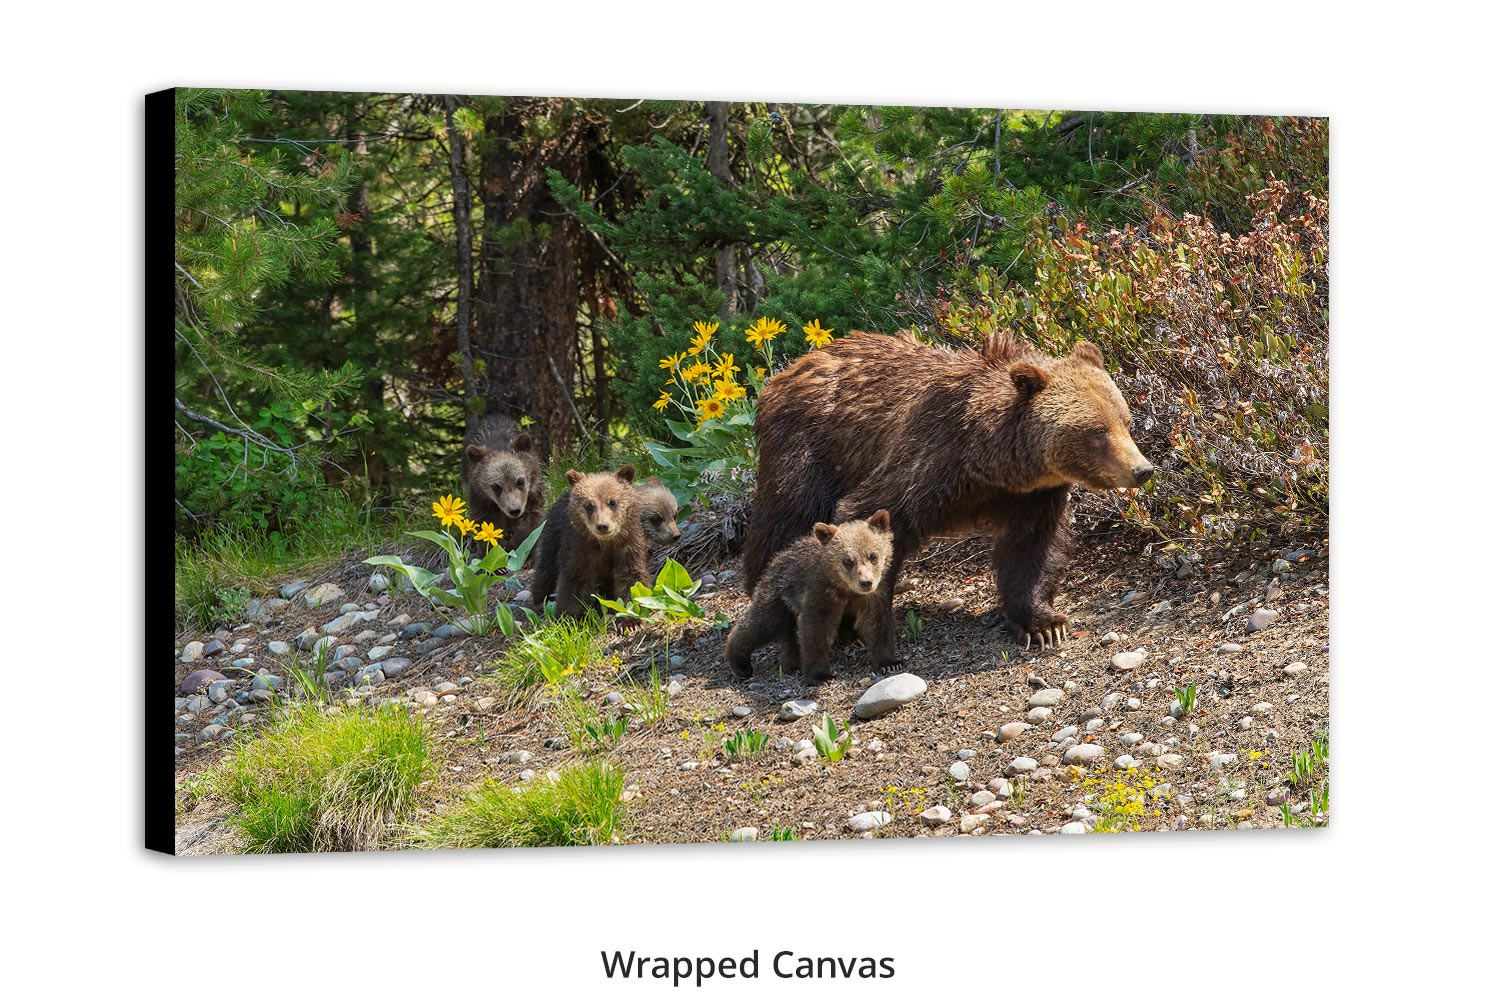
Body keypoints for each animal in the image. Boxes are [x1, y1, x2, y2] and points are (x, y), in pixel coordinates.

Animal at [460, 413, 546, 544]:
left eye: (520, 481)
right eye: (496, 486)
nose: (514, 510)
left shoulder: (532, 495)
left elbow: (531, 521)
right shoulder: (481, 498)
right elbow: (486, 524)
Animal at [549, 466, 650, 618]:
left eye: (612, 502)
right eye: (589, 505)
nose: (602, 525)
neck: (605, 545)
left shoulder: (629, 546)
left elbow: (631, 579)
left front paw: (630, 617)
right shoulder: (579, 550)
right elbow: (573, 582)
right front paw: (566, 616)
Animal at [725, 510, 895, 685]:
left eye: (873, 555)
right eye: (848, 561)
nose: (866, 582)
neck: (845, 588)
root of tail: (776, 558)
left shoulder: (874, 595)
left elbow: (876, 622)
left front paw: (888, 663)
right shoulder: (820, 593)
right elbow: (815, 629)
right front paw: (820, 675)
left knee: (789, 634)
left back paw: (792, 664)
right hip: (778, 596)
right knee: (761, 624)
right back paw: (740, 663)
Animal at [742, 330, 1153, 651]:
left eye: (1126, 421)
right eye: (1097, 431)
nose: (1142, 470)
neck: (989, 460)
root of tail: (784, 372)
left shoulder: (1033, 496)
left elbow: (1032, 548)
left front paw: (1043, 624)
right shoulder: (926, 460)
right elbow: (868, 516)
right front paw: (851, 619)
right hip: (807, 452)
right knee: (785, 519)